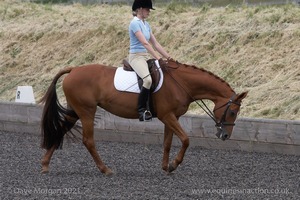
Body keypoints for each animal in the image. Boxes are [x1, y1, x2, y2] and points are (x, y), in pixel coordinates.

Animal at [39, 59, 246, 175]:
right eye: (233, 112)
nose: (225, 136)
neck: (181, 83)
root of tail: (73, 69)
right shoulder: (167, 116)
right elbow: (186, 140)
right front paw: (174, 165)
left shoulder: (172, 117)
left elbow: (167, 143)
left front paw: (166, 167)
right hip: (87, 111)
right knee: (88, 141)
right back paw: (105, 169)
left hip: (76, 111)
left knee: (61, 130)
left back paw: (45, 165)